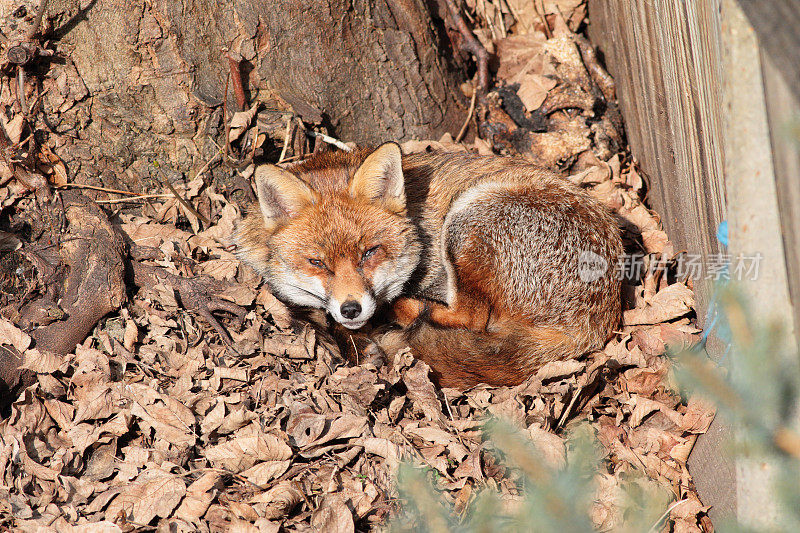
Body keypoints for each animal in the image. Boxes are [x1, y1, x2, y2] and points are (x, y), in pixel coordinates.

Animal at [234, 143, 620, 388]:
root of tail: (596, 322)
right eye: (317, 262)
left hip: (468, 218)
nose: (350, 309)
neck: (419, 228)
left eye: (369, 253)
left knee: (472, 318)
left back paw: (402, 311)